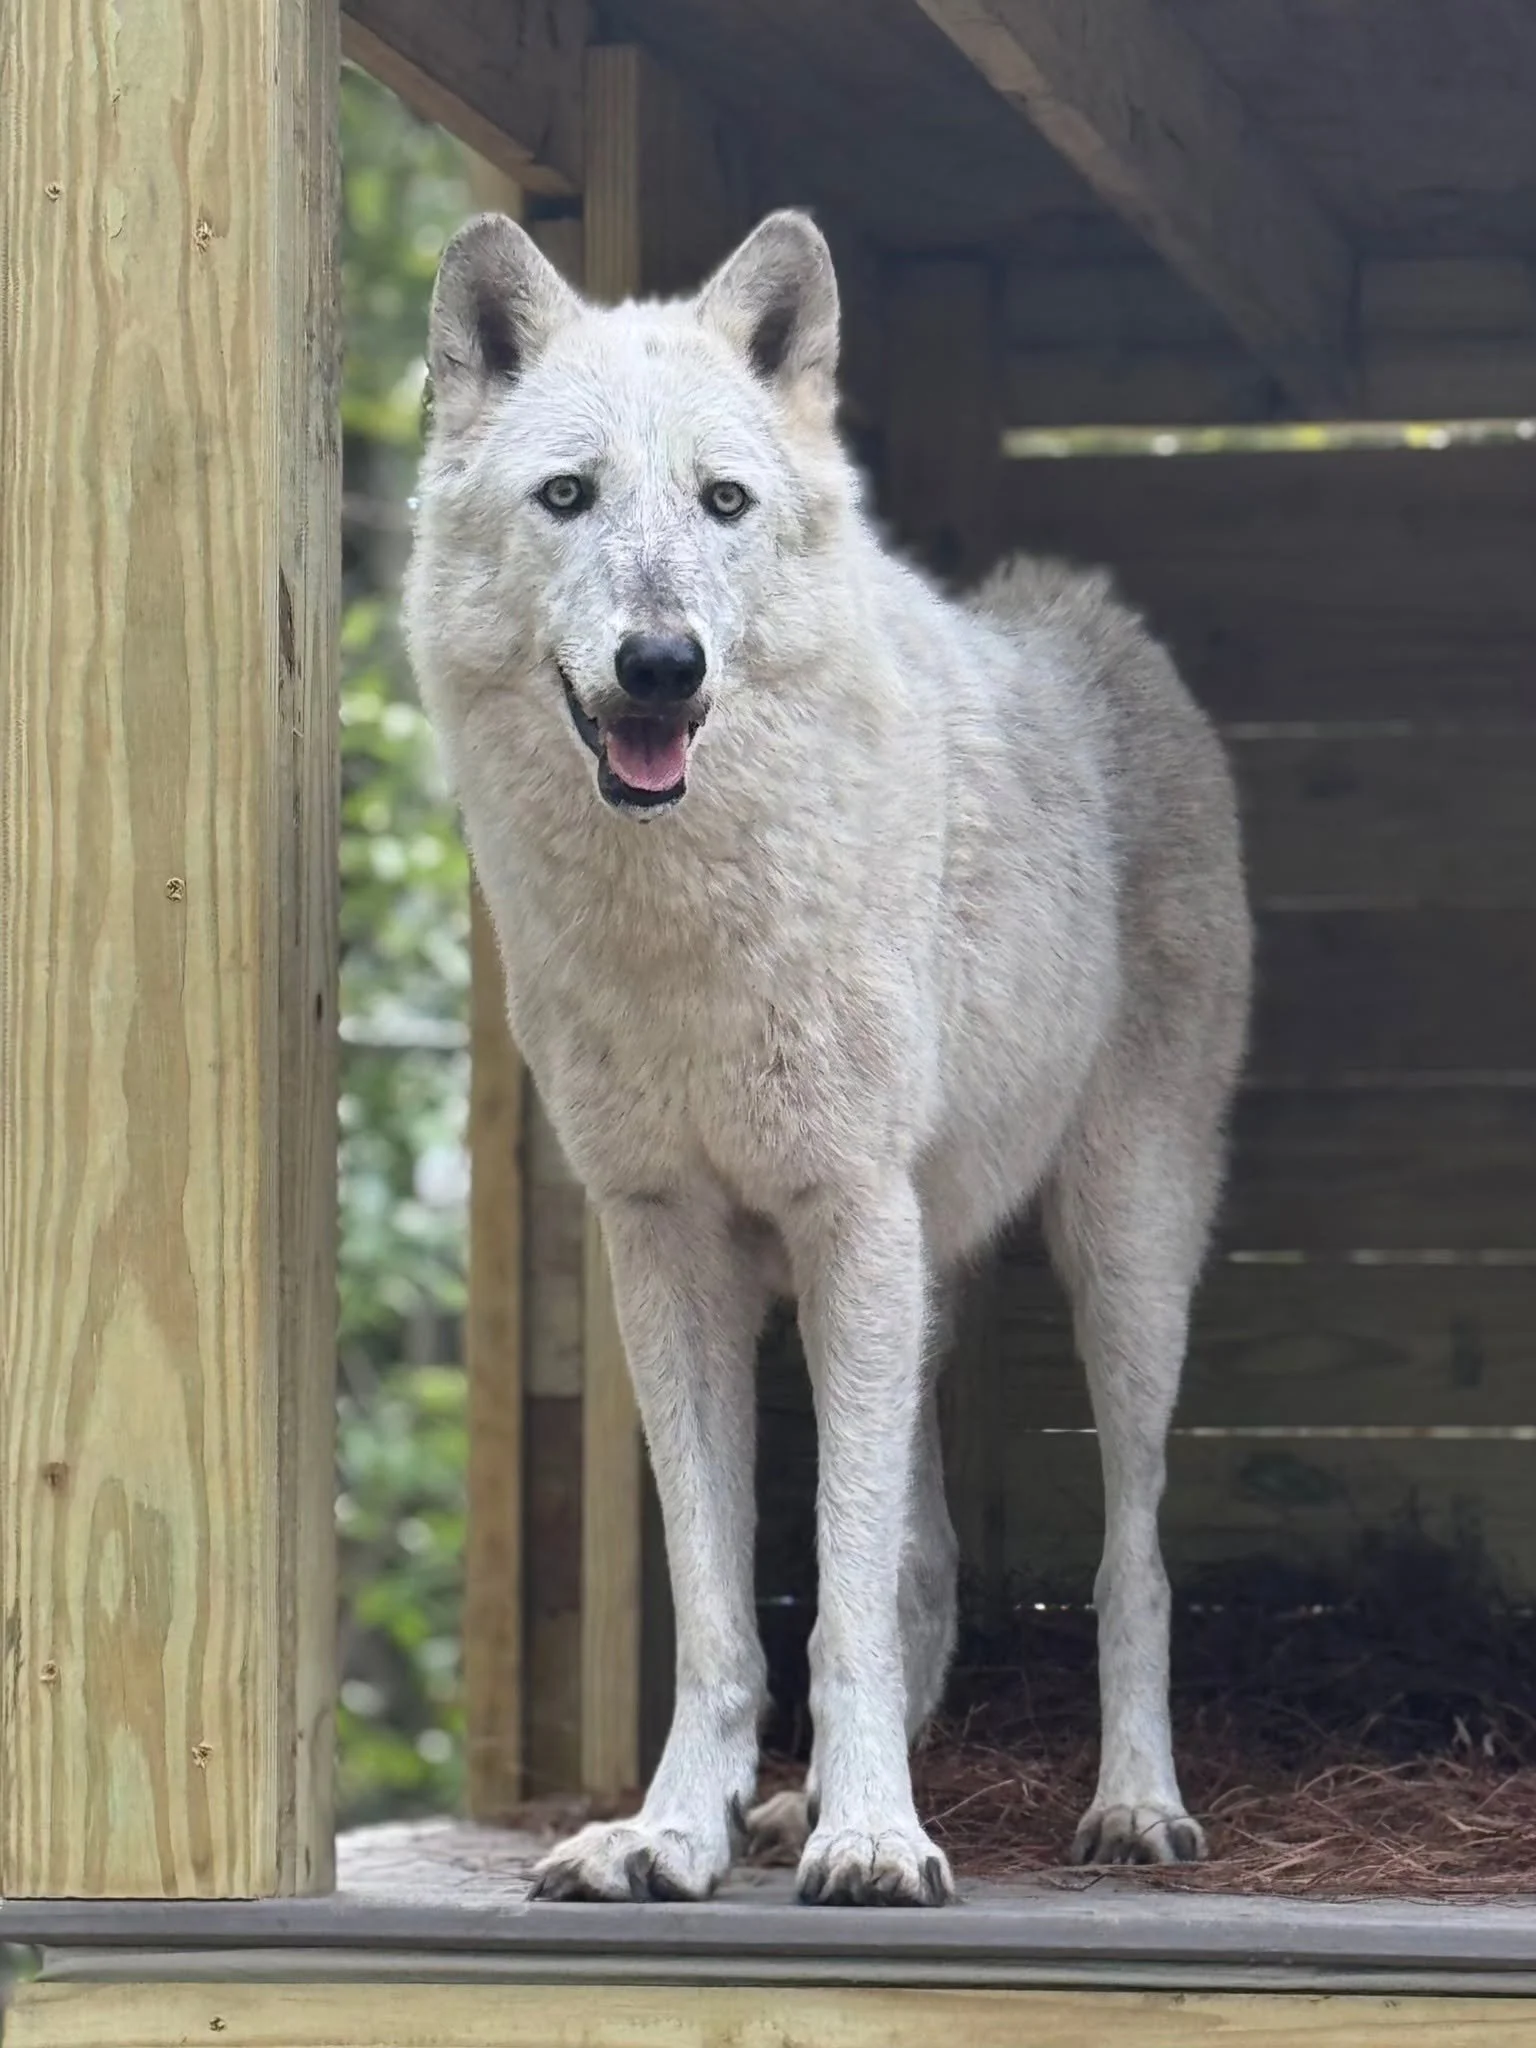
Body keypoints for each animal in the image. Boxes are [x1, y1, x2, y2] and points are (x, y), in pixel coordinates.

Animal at [404, 208, 1252, 1907]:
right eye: (568, 494)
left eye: (722, 502)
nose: (662, 665)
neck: (678, 925)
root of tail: (1094, 619)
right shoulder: (669, 1244)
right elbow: (728, 1605)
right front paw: (678, 1830)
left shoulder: (846, 1215)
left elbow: (840, 1596)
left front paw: (874, 1840)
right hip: (917, 1281)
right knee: (928, 1557)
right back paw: (795, 1807)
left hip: (1118, 1254)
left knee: (1132, 1558)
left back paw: (1130, 1809)